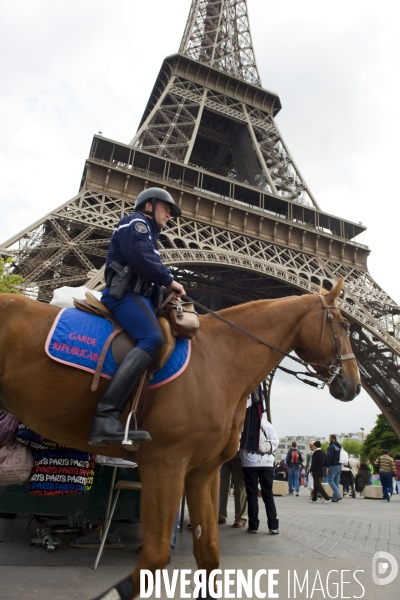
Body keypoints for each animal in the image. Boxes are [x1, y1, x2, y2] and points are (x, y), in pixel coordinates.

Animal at [0, 282, 360, 600]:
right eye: (343, 324)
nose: (354, 385)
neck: (219, 359)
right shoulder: (165, 464)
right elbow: (155, 557)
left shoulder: (202, 473)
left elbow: (208, 552)